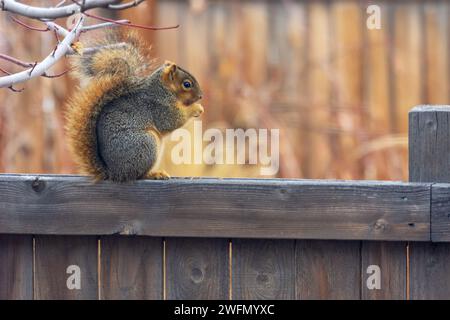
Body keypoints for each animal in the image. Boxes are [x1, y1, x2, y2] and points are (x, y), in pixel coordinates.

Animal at [64, 32, 203, 184]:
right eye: (187, 84)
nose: (201, 96)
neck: (163, 89)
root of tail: (115, 173)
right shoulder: (159, 106)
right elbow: (172, 121)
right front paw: (196, 108)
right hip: (145, 144)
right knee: (138, 175)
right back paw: (154, 174)